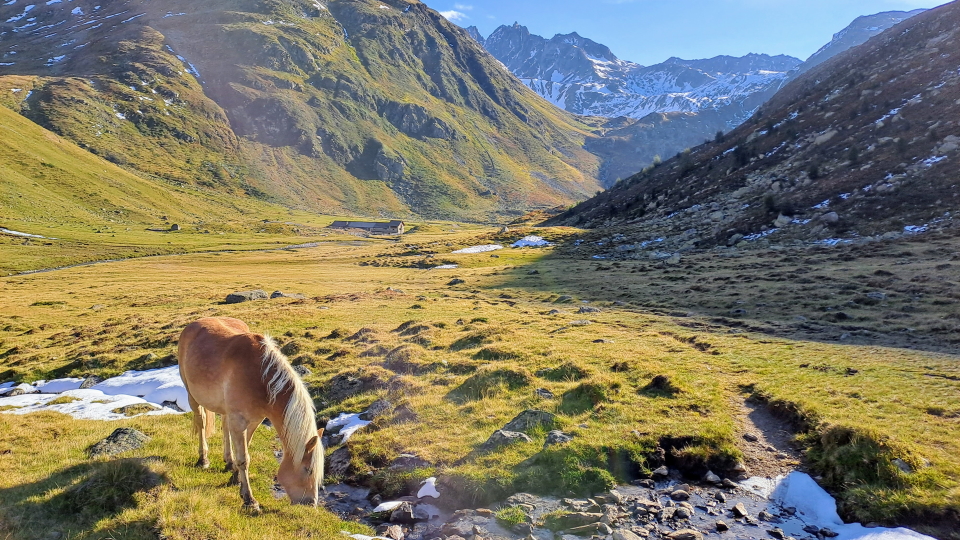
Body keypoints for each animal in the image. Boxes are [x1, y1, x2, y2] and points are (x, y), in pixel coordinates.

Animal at [178, 317, 324, 511]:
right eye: (308, 469)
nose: (311, 504)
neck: (260, 377)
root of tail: (194, 323)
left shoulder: (253, 421)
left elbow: (244, 453)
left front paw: (236, 478)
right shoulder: (239, 421)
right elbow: (244, 459)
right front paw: (249, 500)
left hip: (226, 410)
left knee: (225, 426)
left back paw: (228, 461)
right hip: (192, 396)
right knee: (201, 422)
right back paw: (203, 459)